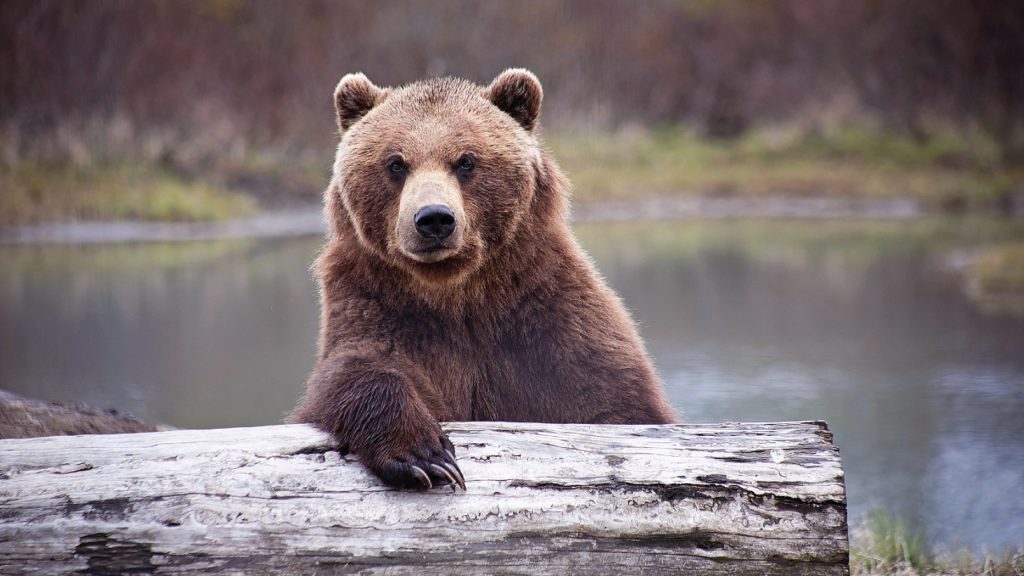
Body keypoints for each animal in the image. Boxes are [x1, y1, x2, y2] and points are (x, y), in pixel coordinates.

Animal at [288, 68, 675, 487]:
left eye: (466, 161)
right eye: (395, 163)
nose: (434, 219)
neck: (458, 293)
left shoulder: (548, 320)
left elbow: (615, 401)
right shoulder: (376, 305)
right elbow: (356, 370)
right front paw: (424, 456)